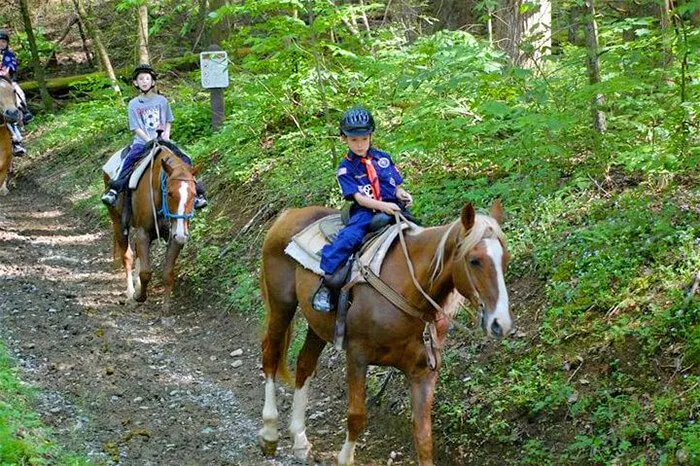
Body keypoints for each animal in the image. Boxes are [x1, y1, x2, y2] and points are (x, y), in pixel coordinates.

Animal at [104, 148, 197, 310]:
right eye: (170, 193)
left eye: (194, 193)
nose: (181, 234)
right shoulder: (143, 233)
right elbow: (146, 272)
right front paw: (139, 296)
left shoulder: (175, 238)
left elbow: (168, 273)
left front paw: (166, 306)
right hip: (117, 223)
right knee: (127, 256)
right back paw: (130, 293)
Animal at [260, 201, 512, 466]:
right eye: (474, 260)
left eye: (505, 259)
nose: (500, 323)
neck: (411, 290)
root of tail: (289, 214)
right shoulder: (357, 356)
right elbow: (356, 417)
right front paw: (345, 458)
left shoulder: (423, 372)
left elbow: (423, 435)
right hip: (282, 305)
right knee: (271, 355)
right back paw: (269, 434)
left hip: (317, 325)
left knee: (305, 363)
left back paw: (299, 439)